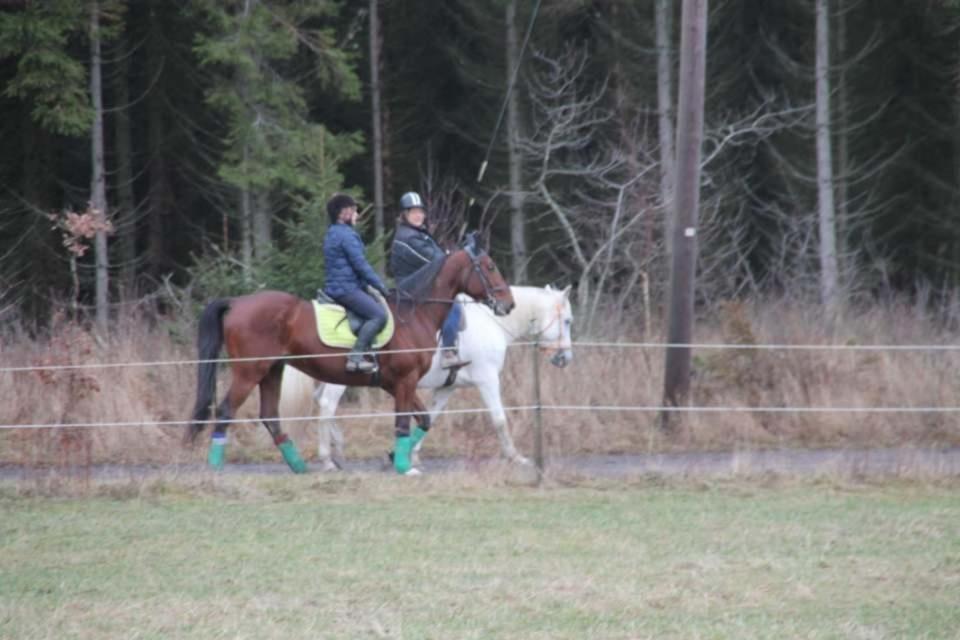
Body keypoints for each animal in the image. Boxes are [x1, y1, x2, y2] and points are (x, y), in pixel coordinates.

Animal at [190, 240, 512, 476]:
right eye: (490, 266)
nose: (508, 304)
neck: (414, 314)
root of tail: (237, 302)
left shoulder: (399, 385)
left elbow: (423, 420)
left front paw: (395, 456)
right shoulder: (407, 382)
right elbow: (404, 423)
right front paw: (403, 466)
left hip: (272, 371)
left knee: (271, 415)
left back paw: (300, 465)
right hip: (249, 372)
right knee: (227, 410)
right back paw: (216, 466)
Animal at [282, 284, 572, 470]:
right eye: (567, 321)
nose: (565, 358)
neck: (493, 323)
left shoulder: (446, 388)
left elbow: (430, 417)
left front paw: (406, 454)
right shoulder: (487, 380)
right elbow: (499, 419)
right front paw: (516, 457)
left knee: (321, 403)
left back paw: (339, 449)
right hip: (341, 380)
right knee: (326, 406)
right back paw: (328, 458)